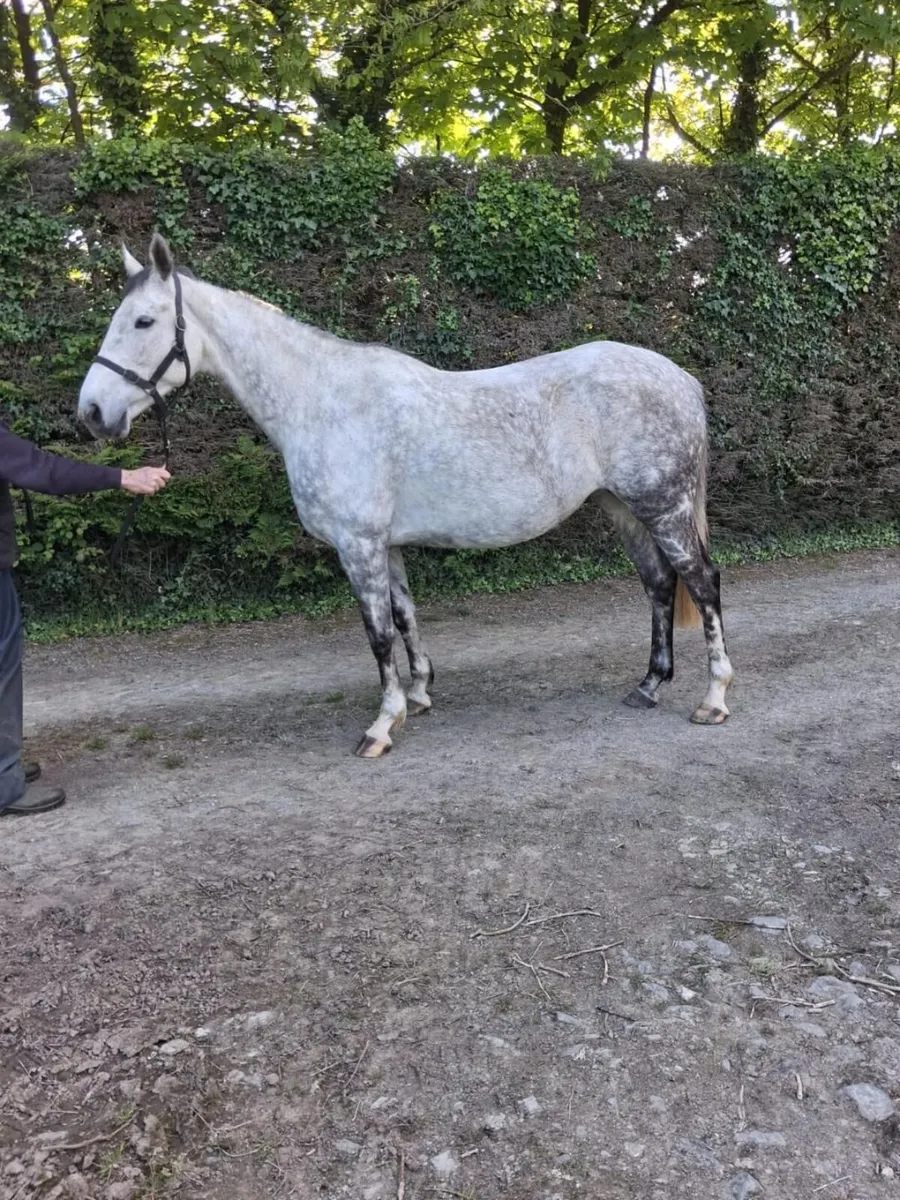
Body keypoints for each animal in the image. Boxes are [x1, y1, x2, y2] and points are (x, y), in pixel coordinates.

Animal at [78, 234, 734, 758]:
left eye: (143, 322)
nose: (91, 413)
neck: (323, 402)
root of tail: (679, 377)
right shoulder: (385, 545)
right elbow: (404, 616)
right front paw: (418, 693)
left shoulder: (358, 545)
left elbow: (377, 634)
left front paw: (381, 725)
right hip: (622, 508)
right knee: (658, 584)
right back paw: (648, 686)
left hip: (664, 507)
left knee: (702, 583)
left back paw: (714, 698)